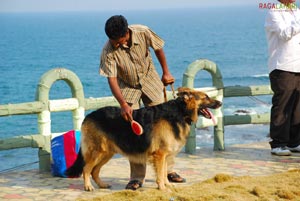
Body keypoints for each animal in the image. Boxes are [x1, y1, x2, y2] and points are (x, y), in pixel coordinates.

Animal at [65, 87, 220, 191]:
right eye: (206, 97)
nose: (220, 103)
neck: (180, 111)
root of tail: (88, 116)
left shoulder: (164, 156)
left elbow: (164, 172)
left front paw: (168, 185)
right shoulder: (160, 155)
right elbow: (160, 174)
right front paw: (162, 188)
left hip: (106, 153)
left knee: (94, 171)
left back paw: (102, 185)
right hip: (98, 152)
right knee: (86, 169)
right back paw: (88, 187)